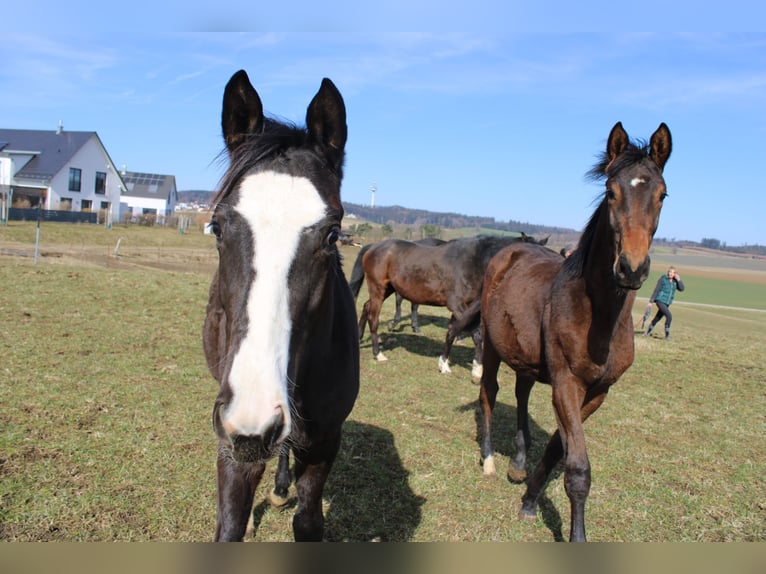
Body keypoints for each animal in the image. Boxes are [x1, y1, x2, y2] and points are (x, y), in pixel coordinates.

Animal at [204, 70, 360, 544]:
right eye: (217, 227)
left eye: (332, 235)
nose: (256, 420)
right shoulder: (232, 441)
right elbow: (230, 526)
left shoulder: (326, 440)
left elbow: (308, 523)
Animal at [480, 122, 672, 544]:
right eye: (611, 192)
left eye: (662, 195)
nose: (631, 268)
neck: (597, 318)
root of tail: (511, 251)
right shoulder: (566, 381)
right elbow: (579, 468)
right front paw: (576, 537)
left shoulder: (597, 391)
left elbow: (558, 448)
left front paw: (530, 499)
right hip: (490, 346)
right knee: (488, 392)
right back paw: (487, 460)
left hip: (526, 357)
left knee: (520, 393)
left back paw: (518, 461)